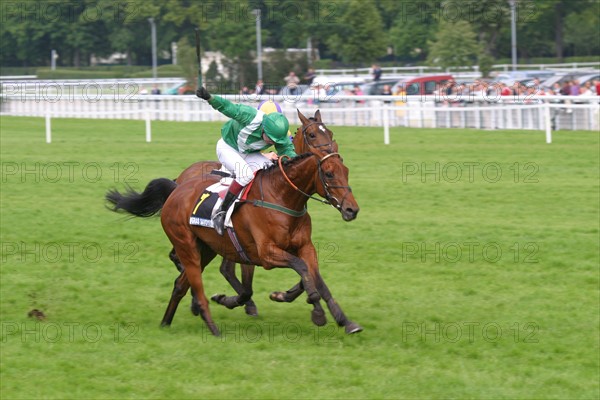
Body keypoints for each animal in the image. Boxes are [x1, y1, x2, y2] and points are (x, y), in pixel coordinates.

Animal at [106, 152, 360, 336]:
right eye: (328, 174)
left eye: (346, 172)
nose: (352, 209)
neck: (281, 198)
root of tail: (177, 188)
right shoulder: (266, 254)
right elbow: (302, 269)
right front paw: (316, 311)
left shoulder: (305, 247)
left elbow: (315, 277)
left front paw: (345, 320)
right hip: (186, 244)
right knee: (192, 282)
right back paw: (210, 326)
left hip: (206, 249)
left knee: (180, 284)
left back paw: (167, 322)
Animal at [172, 108, 338, 318]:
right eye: (312, 134)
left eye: (330, 133)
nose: (331, 154)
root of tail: (181, 177)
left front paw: (286, 294)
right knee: (203, 263)